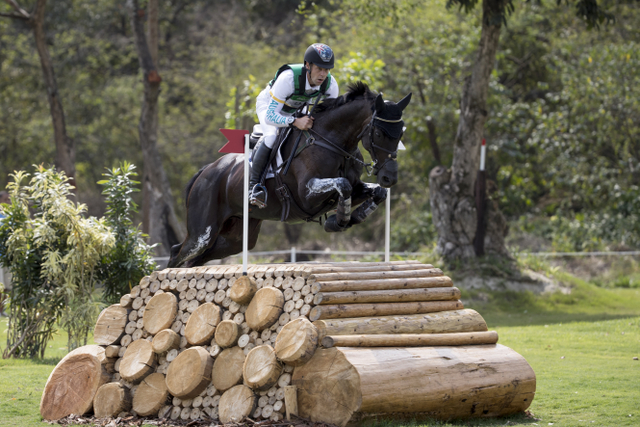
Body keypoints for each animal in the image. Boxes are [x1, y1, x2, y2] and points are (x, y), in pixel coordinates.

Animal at [168, 82, 412, 268]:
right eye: (378, 133)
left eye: (401, 133)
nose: (390, 178)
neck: (330, 141)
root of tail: (207, 171)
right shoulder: (307, 194)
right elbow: (343, 185)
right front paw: (338, 221)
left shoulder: (356, 186)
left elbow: (376, 192)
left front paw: (353, 216)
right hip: (203, 233)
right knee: (177, 253)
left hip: (235, 237)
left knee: (195, 260)